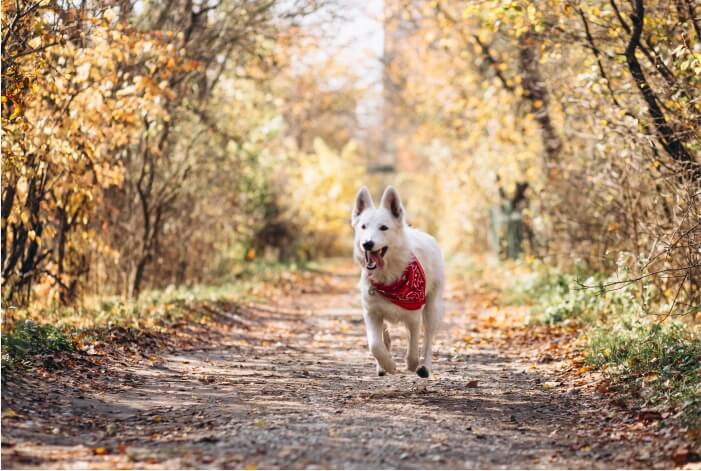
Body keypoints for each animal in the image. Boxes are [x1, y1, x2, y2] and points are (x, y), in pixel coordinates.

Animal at [350, 186, 442, 378]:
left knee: (428, 339)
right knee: (385, 338)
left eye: (383, 227)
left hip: (432, 308)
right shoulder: (371, 313)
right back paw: (382, 366)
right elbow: (375, 345)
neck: (388, 276)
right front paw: (389, 365)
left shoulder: (414, 315)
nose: (367, 243)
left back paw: (425, 367)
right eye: (363, 227)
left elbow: (413, 347)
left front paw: (412, 364)